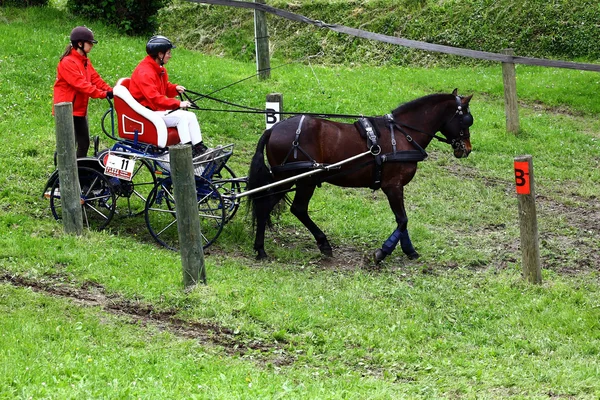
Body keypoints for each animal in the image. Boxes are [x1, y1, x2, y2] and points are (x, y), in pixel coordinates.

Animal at [248, 88, 474, 262]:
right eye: (467, 120)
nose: (467, 149)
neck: (402, 135)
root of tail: (273, 129)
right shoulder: (392, 185)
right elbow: (402, 219)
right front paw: (382, 252)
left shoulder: (396, 186)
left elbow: (401, 220)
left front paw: (409, 250)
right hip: (303, 180)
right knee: (292, 208)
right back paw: (313, 244)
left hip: (289, 181)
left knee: (269, 206)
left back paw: (263, 247)